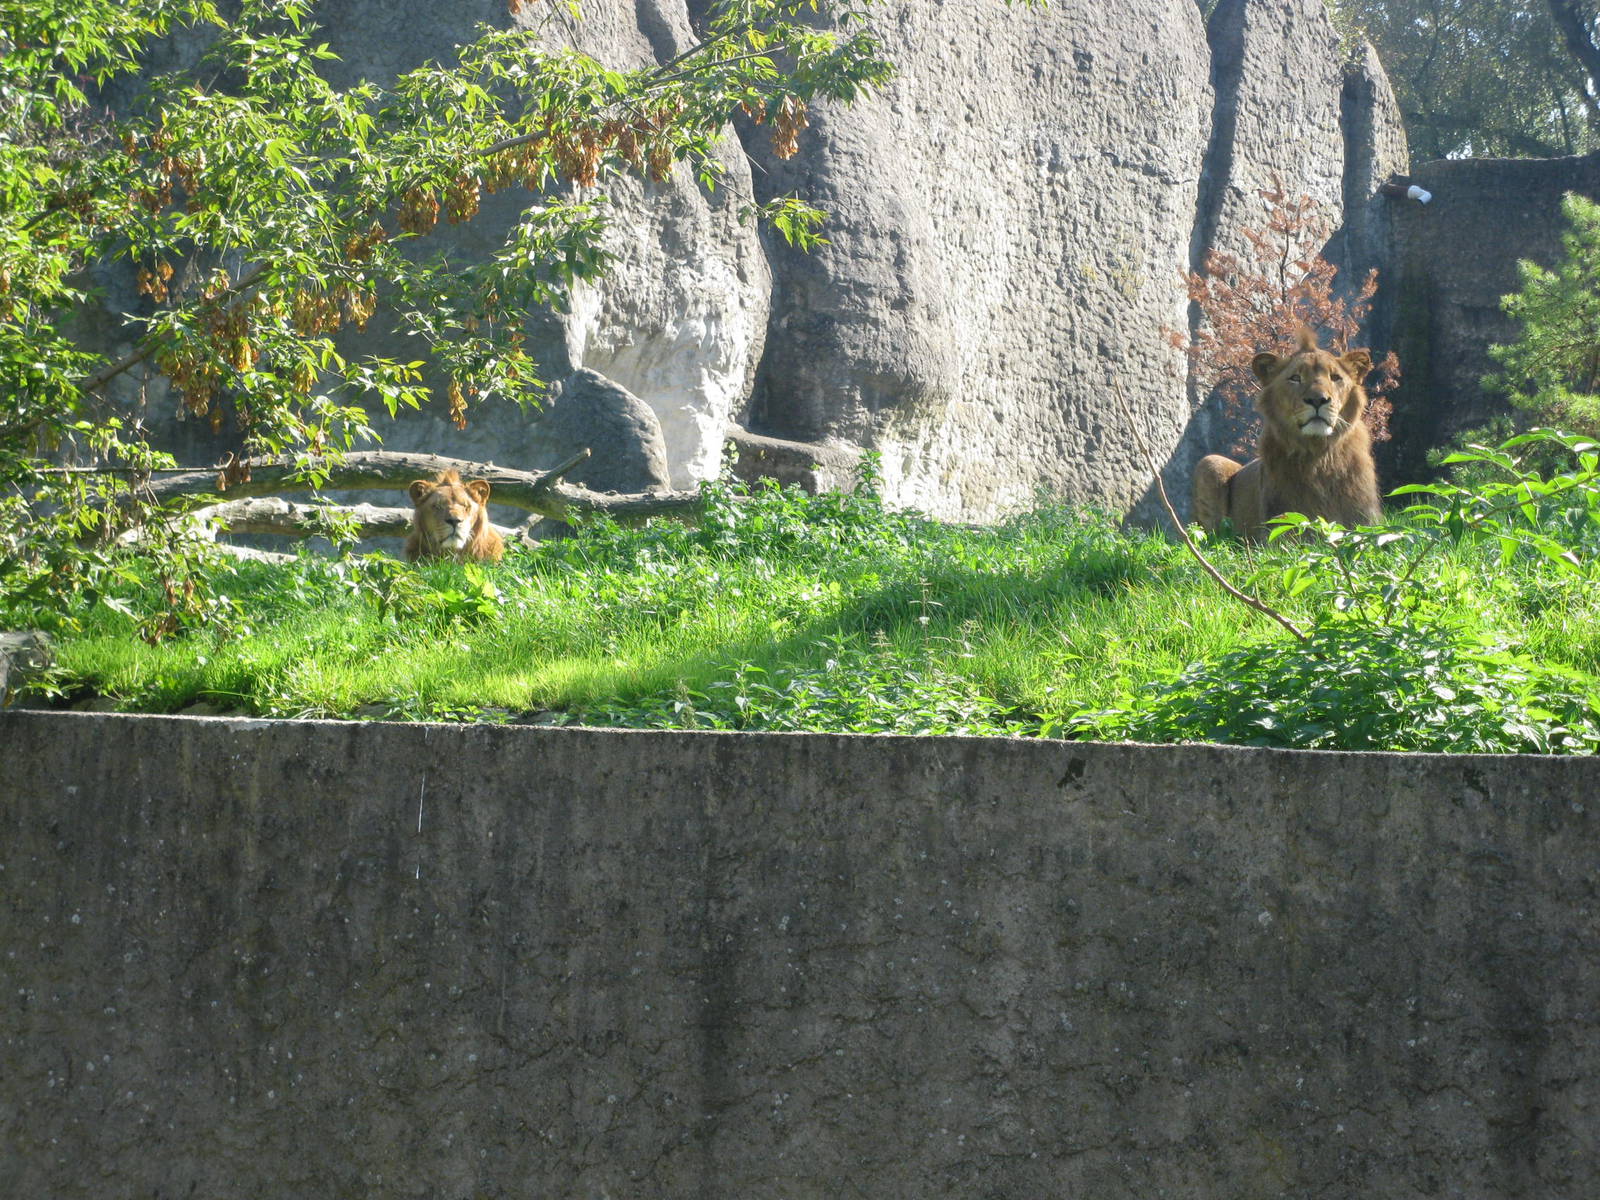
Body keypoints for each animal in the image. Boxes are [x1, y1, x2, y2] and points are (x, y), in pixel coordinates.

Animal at [1191, 326, 1382, 540]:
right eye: (1295, 378)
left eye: (1335, 378)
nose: (1318, 400)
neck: (1319, 457)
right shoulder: (1278, 531)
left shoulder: (1367, 523)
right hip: (1210, 463)